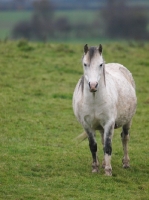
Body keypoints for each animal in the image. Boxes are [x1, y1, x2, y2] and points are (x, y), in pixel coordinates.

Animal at [73, 44, 137, 176]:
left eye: (100, 64)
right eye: (85, 64)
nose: (93, 85)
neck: (94, 100)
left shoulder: (109, 123)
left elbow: (108, 146)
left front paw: (108, 171)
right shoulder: (87, 125)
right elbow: (93, 146)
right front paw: (95, 168)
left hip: (128, 120)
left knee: (125, 138)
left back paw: (126, 163)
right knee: (102, 142)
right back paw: (102, 163)